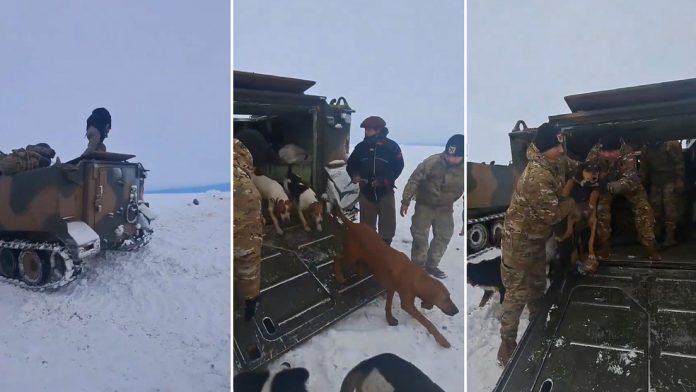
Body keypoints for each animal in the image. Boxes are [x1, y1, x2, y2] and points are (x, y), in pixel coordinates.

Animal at [330, 207, 456, 348]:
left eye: (449, 297)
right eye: (445, 299)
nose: (457, 311)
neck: (416, 278)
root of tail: (352, 224)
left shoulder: (391, 287)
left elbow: (388, 305)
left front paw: (389, 318)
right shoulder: (407, 304)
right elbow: (427, 322)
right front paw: (442, 339)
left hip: (360, 254)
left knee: (358, 263)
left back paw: (360, 271)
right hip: (350, 255)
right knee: (337, 258)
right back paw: (339, 276)